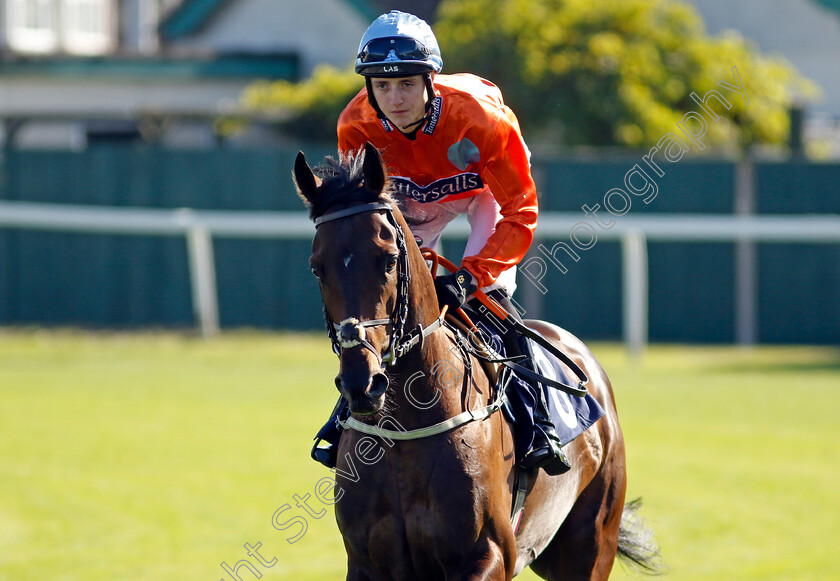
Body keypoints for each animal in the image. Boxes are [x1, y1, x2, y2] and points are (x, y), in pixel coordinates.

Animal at [292, 142, 660, 580]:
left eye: (389, 259)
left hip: (590, 543)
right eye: (317, 267)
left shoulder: (490, 554)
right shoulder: (367, 563)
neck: (406, 432)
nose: (362, 383)